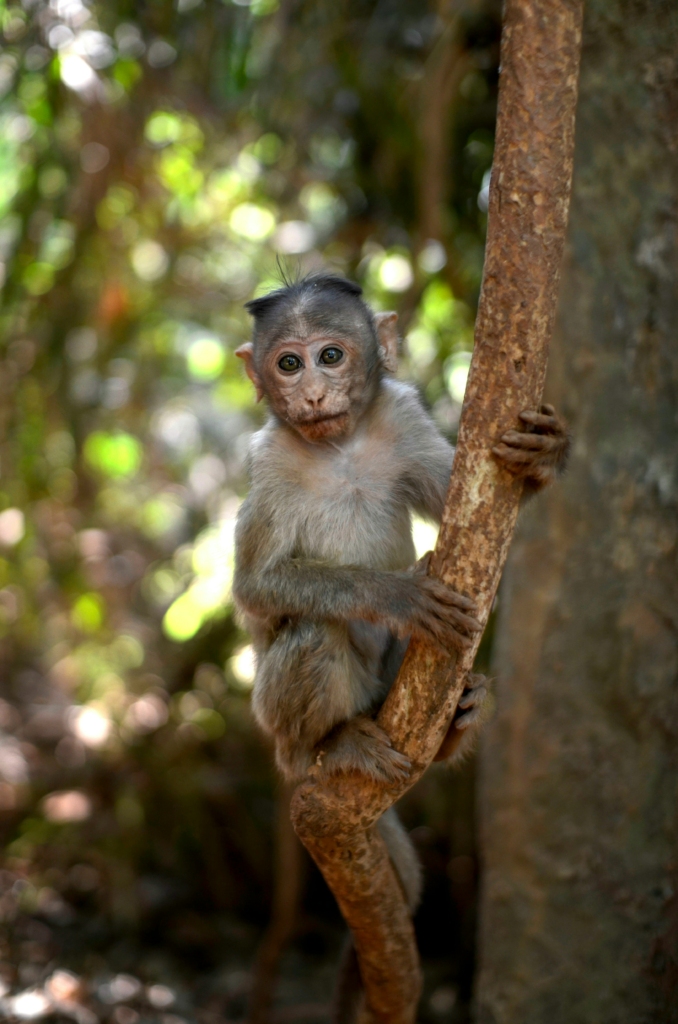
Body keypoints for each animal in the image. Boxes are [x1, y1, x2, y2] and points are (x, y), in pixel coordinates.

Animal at [231, 272, 569, 1015]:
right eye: (288, 363)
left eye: (330, 356)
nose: (312, 394)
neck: (338, 446)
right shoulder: (266, 462)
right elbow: (256, 589)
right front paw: (398, 596)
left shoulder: (403, 417)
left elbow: (469, 499)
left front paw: (545, 456)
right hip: (279, 720)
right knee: (314, 633)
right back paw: (330, 745)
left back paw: (456, 721)